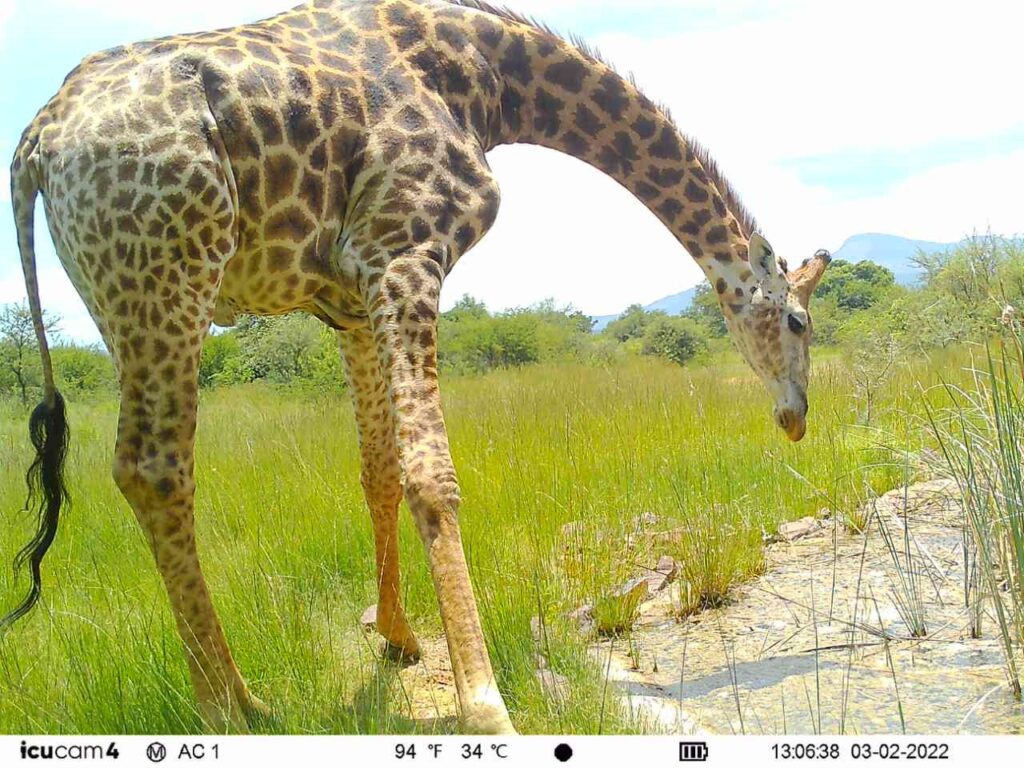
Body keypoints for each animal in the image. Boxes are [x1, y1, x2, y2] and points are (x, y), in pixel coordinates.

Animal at [5, 0, 831, 734]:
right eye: (798, 321)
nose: (796, 418)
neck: (488, 82)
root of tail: (35, 143)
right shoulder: (404, 249)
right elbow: (433, 475)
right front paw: (487, 706)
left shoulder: (348, 299)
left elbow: (378, 471)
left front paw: (397, 638)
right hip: (167, 273)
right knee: (153, 467)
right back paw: (228, 709)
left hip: (125, 296)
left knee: (148, 469)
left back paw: (242, 697)